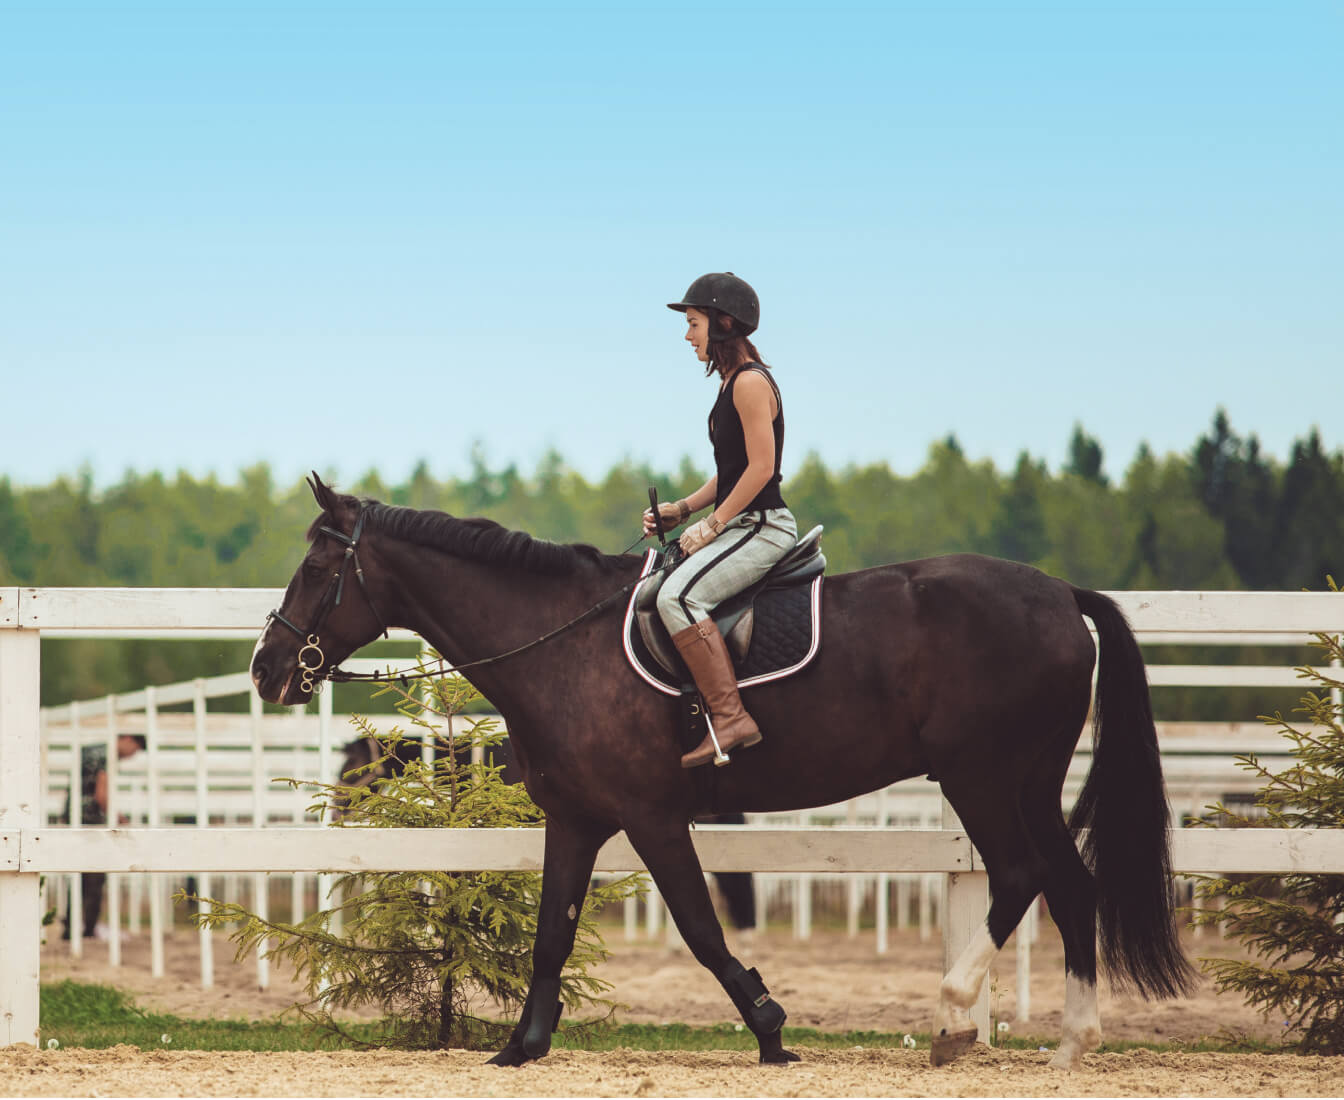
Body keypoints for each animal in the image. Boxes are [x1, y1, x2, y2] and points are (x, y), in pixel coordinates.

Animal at [251, 474, 1193, 1070]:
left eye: (319, 568)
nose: (267, 669)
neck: (564, 645)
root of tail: (1061, 593)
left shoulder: (651, 815)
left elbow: (702, 928)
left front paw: (771, 1030)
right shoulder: (579, 818)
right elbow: (552, 932)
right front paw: (521, 1045)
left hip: (984, 778)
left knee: (1022, 876)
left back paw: (955, 1017)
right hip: (1030, 781)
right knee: (1070, 885)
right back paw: (1071, 1044)